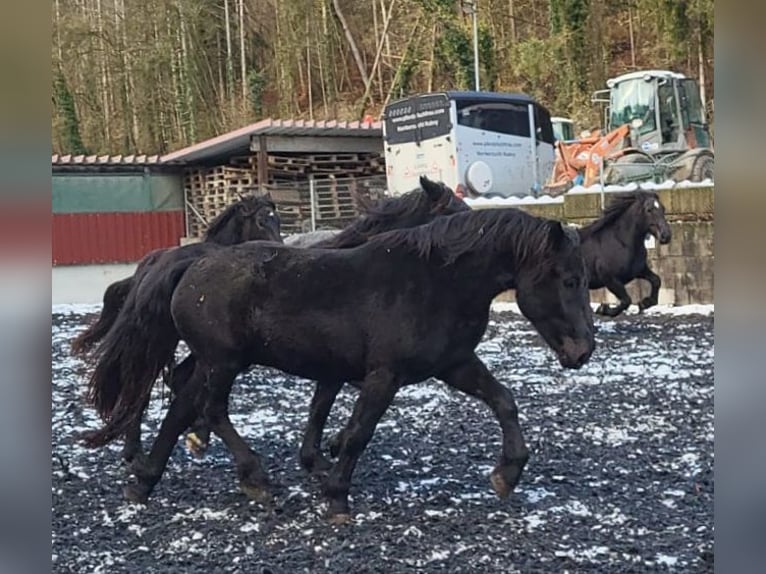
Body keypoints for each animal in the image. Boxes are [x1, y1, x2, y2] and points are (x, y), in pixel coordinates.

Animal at [584, 192, 672, 320]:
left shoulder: (638, 270)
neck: (621, 241)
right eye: (649, 210)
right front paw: (603, 309)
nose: (666, 235)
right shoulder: (609, 279)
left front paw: (645, 303)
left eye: (663, 208)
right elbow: (626, 300)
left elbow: (656, 280)